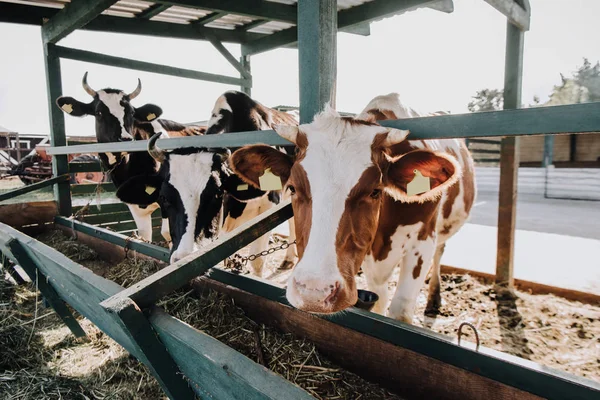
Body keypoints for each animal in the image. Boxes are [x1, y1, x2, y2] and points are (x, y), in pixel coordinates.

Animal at [56, 72, 206, 242]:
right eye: (99, 112)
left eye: (132, 113)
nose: (125, 138)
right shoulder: (135, 205)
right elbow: (144, 238)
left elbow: (168, 233)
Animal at [232, 93, 476, 322]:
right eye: (292, 188)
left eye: (375, 191)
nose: (314, 293)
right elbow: (380, 299)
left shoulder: (422, 242)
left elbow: (400, 310)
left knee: (440, 251)